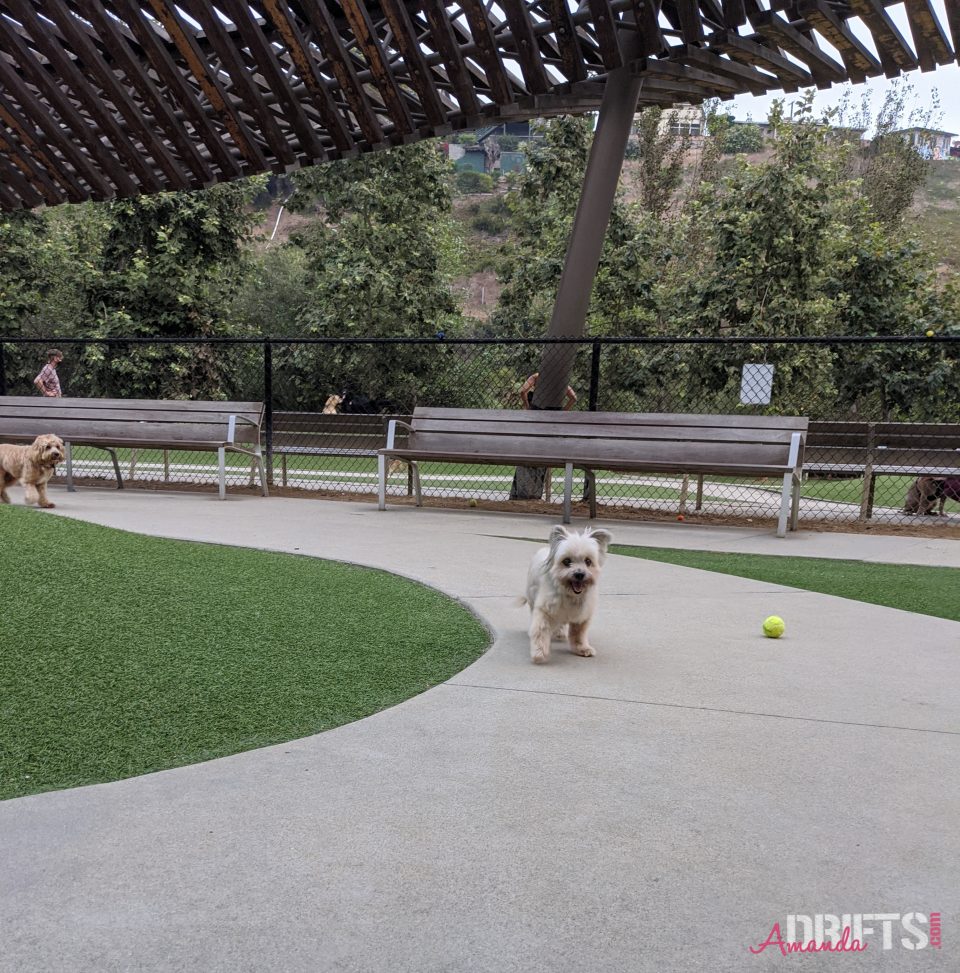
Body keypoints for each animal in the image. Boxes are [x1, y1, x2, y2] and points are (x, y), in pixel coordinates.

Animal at [522, 525, 612, 665]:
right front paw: (539, 653)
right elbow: (540, 631)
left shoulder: (582, 616)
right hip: (532, 597)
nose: (579, 574)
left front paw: (582, 648)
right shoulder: (544, 611)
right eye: (567, 561)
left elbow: (578, 634)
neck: (571, 595)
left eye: (588, 561)